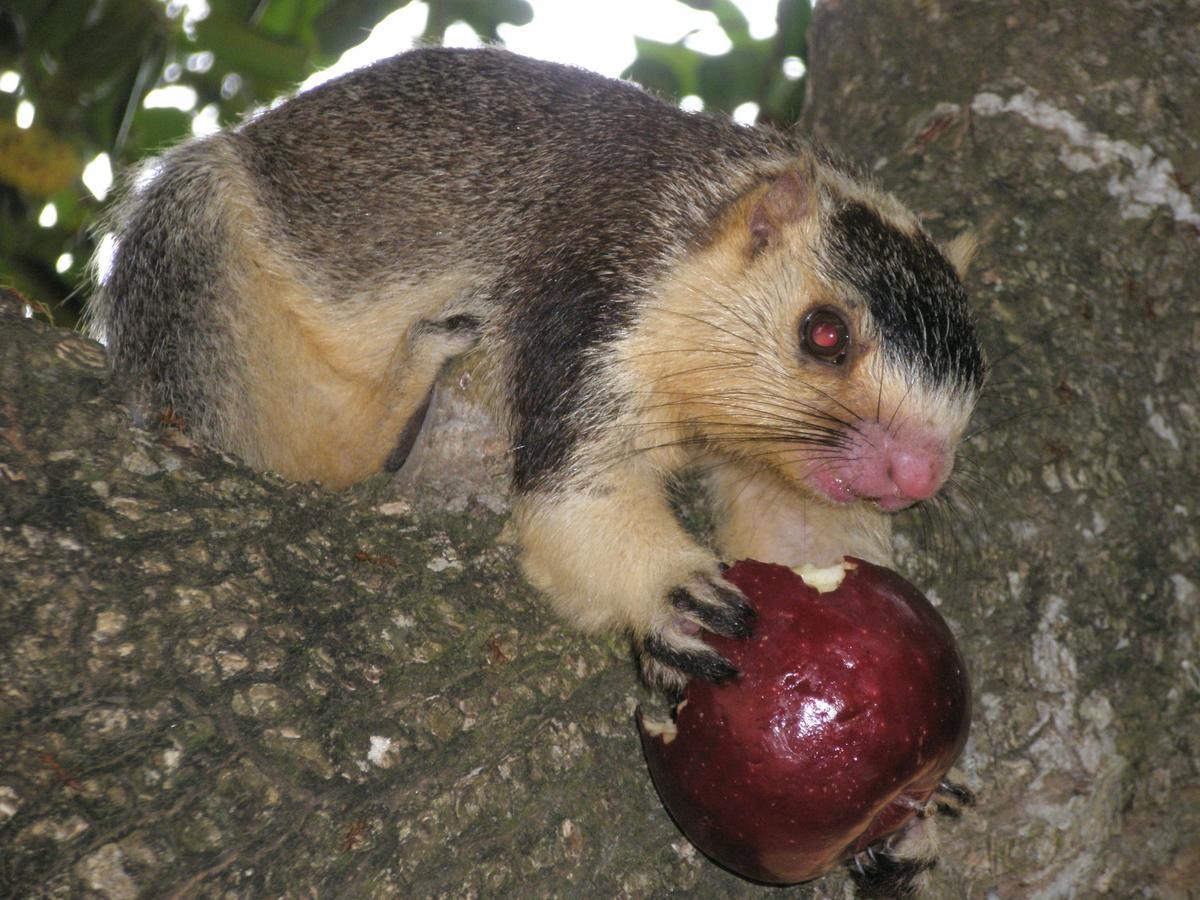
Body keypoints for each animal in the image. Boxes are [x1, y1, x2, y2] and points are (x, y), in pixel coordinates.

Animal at [88, 47, 979, 705]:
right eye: (824, 334)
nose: (918, 476)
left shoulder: (780, 461)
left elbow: (804, 541)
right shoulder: (586, 306)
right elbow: (575, 501)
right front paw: (671, 595)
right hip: (194, 266)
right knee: (298, 447)